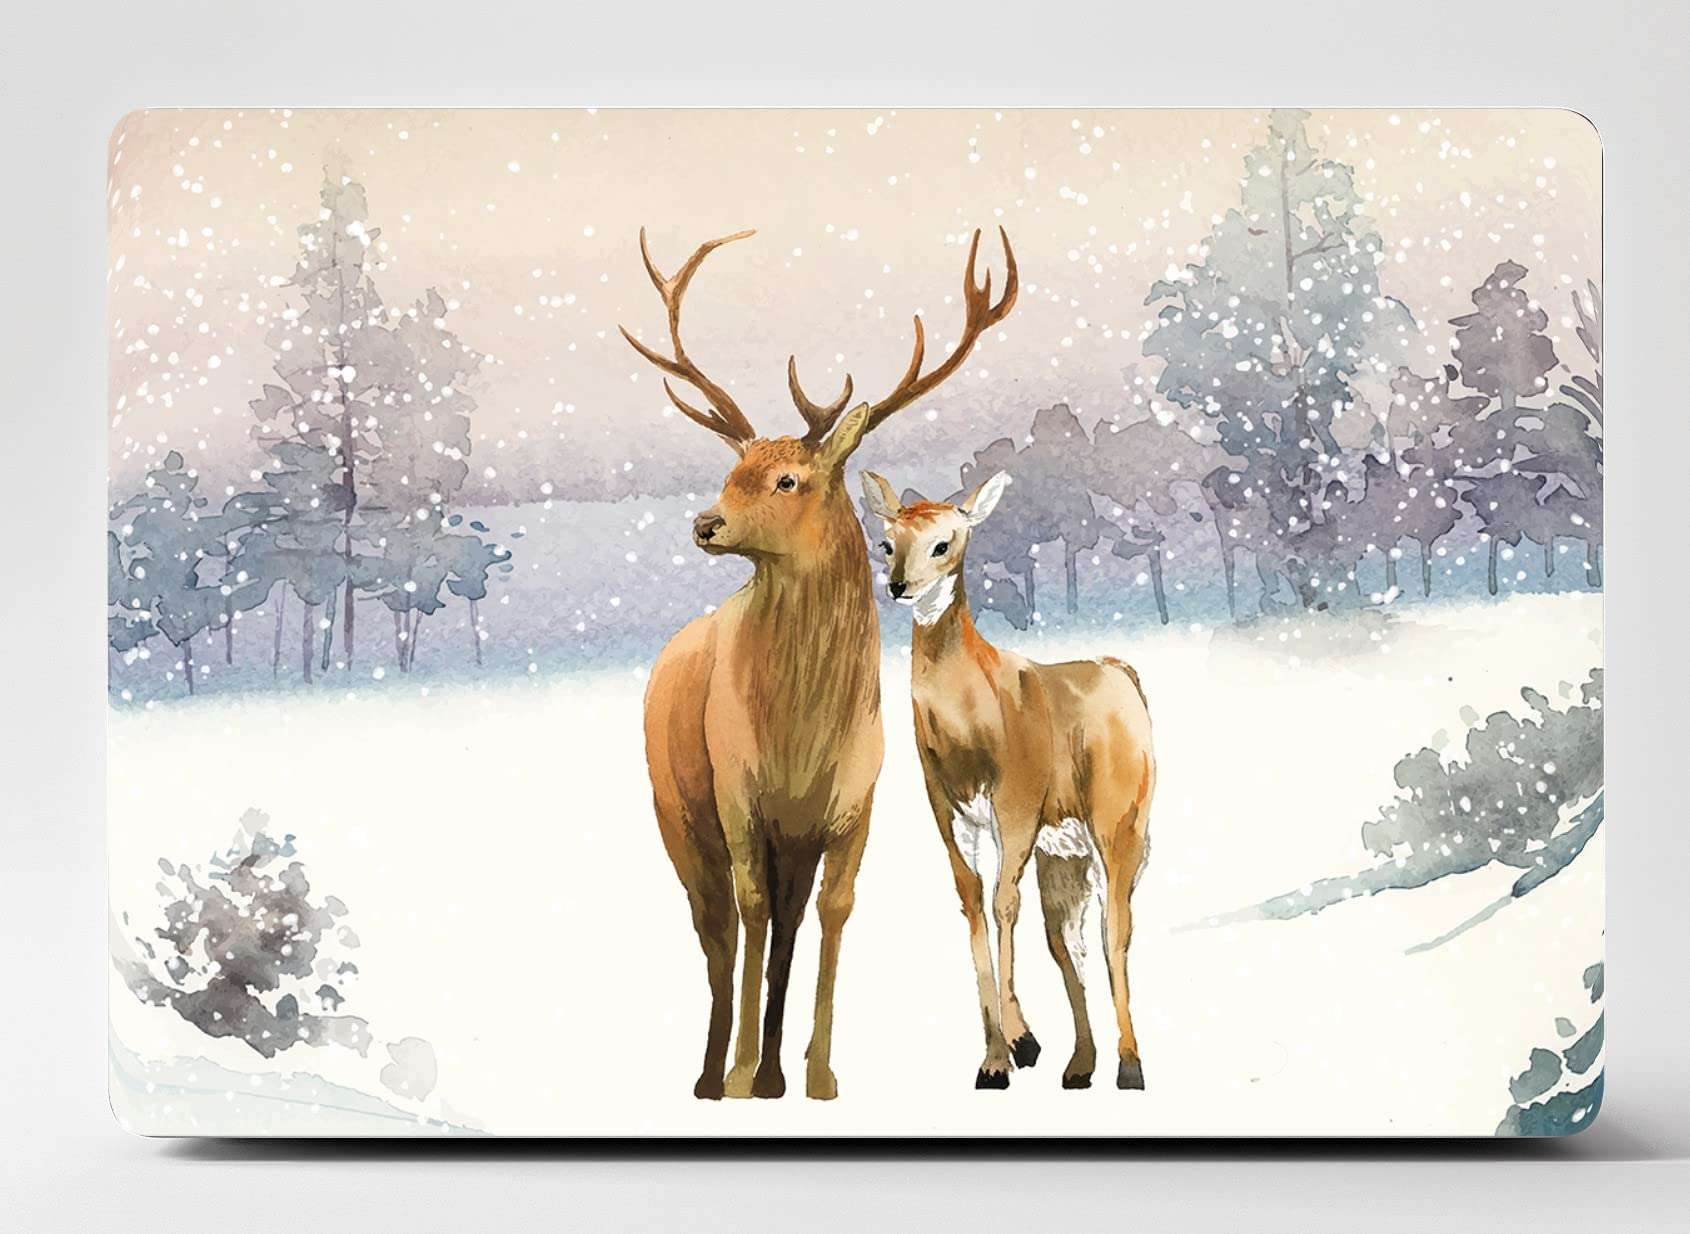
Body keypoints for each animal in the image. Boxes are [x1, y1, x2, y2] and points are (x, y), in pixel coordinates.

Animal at [623, 225, 1017, 1100]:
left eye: (787, 478)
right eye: (731, 470)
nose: (705, 523)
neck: (800, 732)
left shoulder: (853, 802)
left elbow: (833, 911)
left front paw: (817, 1074)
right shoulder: (738, 794)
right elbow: (748, 912)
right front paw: (743, 1072)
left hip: (787, 838)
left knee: (781, 925)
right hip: (677, 810)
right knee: (716, 926)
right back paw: (711, 1075)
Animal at [859, 468, 1156, 1091]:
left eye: (944, 543)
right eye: (887, 542)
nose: (898, 587)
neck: (970, 727)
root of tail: (1122, 671)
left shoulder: (1016, 798)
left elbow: (1003, 904)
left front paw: (1021, 1042)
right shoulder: (947, 807)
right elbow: (973, 902)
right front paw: (996, 1059)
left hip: (1119, 817)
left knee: (1115, 928)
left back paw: (1130, 1065)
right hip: (1063, 849)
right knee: (1067, 938)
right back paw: (1080, 1064)